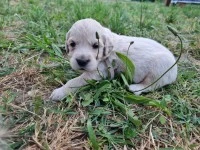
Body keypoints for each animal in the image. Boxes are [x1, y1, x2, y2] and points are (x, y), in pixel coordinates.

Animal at [49, 18, 177, 101]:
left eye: (96, 46)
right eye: (72, 44)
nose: (82, 61)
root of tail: (175, 69)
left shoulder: (97, 72)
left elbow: (74, 81)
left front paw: (60, 92)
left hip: (159, 70)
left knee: (150, 84)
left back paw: (135, 88)